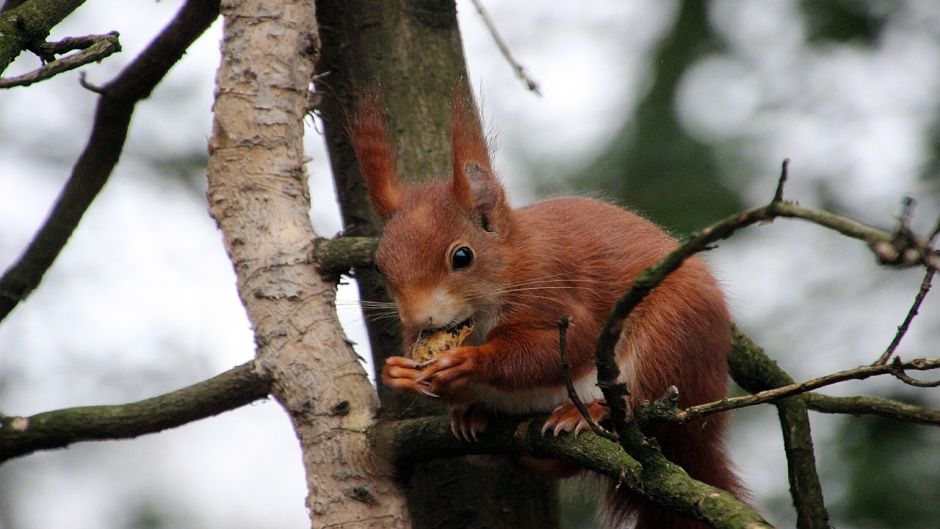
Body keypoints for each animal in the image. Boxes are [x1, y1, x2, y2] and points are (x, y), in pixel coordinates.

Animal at [348, 88, 744, 524]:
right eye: (379, 266)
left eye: (462, 257)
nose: (420, 317)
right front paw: (399, 372)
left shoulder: (556, 287)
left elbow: (563, 347)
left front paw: (469, 361)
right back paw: (473, 414)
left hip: (671, 338)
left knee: (643, 403)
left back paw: (590, 411)